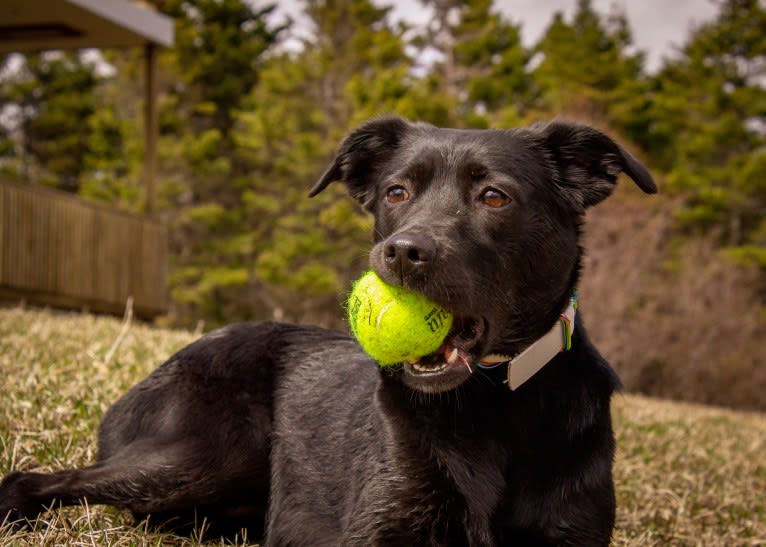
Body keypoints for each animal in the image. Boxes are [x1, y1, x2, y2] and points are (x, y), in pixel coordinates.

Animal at [1, 115, 660, 544]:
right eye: (397, 191)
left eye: (494, 196)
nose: (402, 253)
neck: (490, 404)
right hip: (209, 452)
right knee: (35, 479)